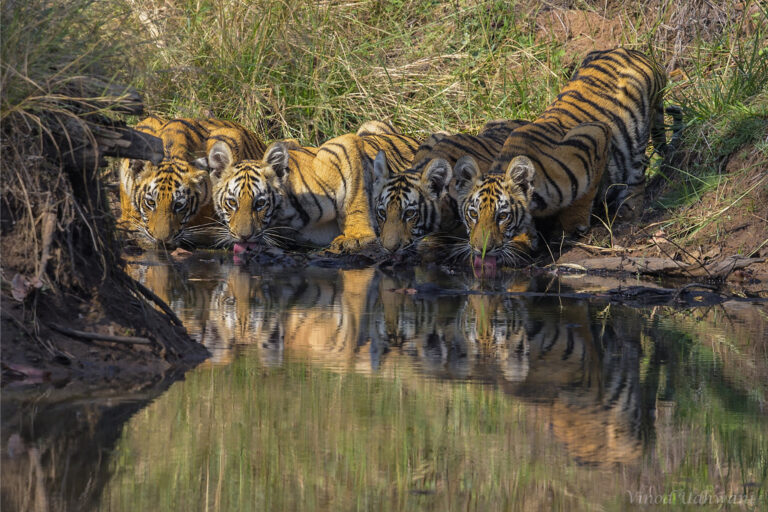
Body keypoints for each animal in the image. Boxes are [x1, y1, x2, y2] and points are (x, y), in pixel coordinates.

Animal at [207, 121, 420, 253]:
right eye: (231, 203)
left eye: (260, 203)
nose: (244, 236)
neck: (283, 218)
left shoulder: (342, 147)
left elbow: (355, 198)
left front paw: (357, 237)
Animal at [456, 47, 682, 270]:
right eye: (473, 214)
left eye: (502, 216)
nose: (481, 250)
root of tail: (641, 54)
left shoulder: (596, 134)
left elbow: (585, 192)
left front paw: (574, 224)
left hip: (638, 133)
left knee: (637, 172)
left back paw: (628, 208)